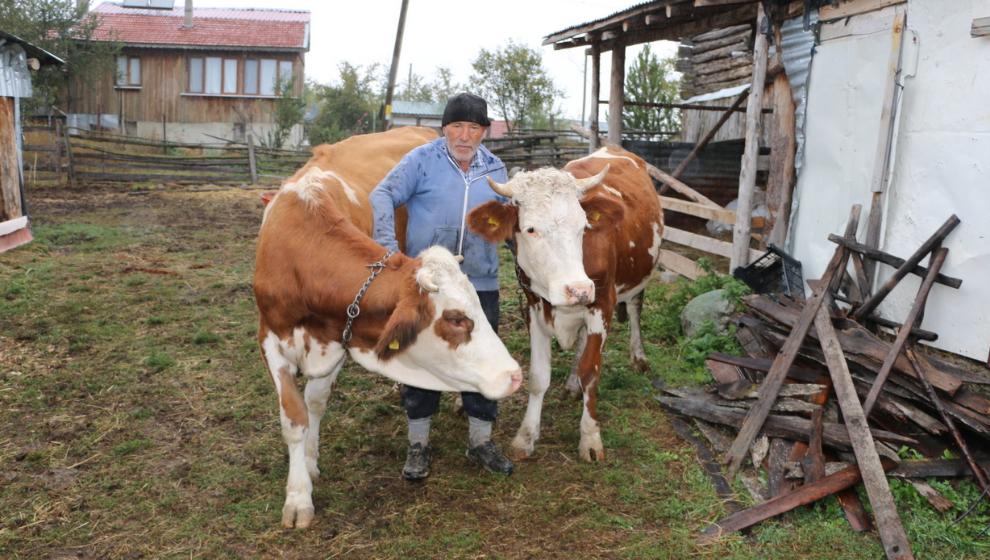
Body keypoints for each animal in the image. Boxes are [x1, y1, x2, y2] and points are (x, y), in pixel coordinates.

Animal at [252, 129, 524, 532]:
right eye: (456, 319)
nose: (515, 375)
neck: (299, 246)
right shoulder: (271, 338)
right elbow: (295, 417)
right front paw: (300, 490)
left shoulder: (338, 340)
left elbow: (316, 401)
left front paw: (308, 466)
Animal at [466, 147, 668, 462]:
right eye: (530, 229)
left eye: (583, 225)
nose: (578, 289)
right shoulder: (534, 307)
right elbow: (539, 376)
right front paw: (525, 437)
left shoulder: (602, 304)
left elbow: (591, 371)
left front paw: (590, 438)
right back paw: (572, 384)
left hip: (641, 272)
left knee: (635, 309)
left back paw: (639, 357)